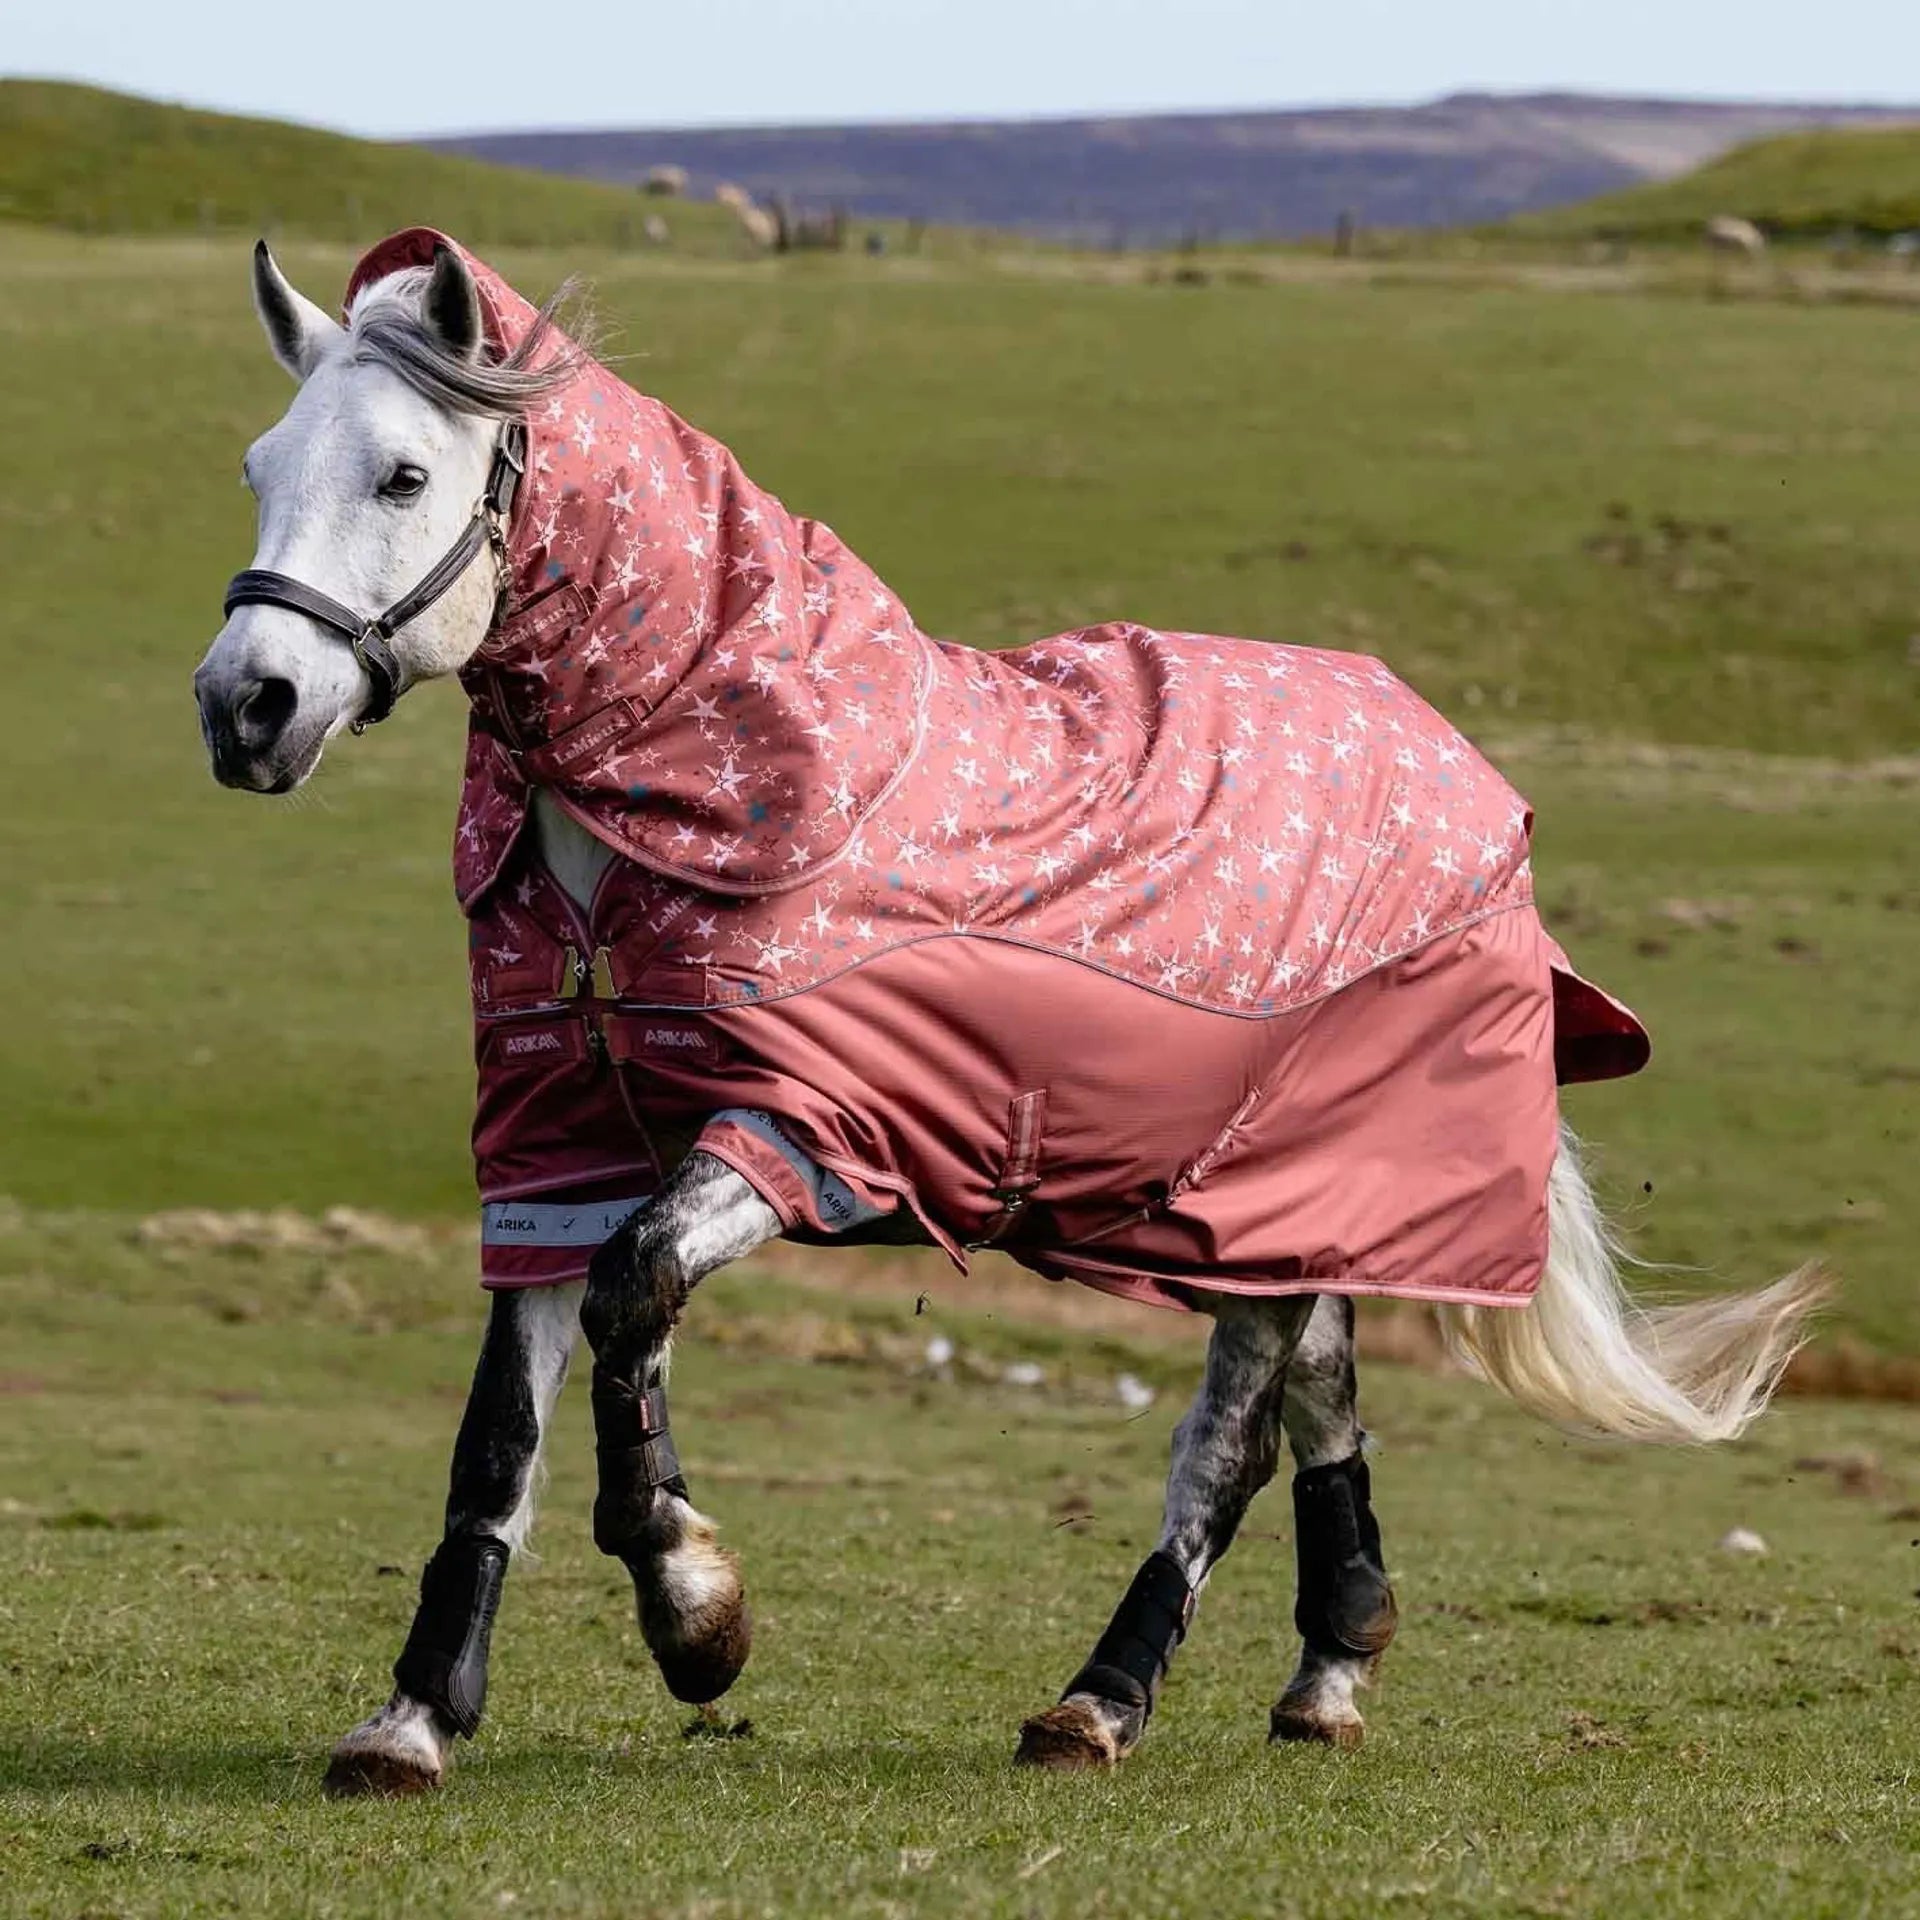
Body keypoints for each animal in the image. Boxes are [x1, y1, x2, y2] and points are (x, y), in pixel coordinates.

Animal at [192, 230, 1822, 1797]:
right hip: (1272, 1206)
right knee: (1322, 1396)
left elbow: (633, 1292)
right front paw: (413, 1719)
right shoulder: (557, 1146)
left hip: (1272, 1200)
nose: (245, 706)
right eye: (261, 468)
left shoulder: (812, 1128)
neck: (694, 807)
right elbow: (499, 1437)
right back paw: (1329, 1673)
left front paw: (694, 1610)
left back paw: (1100, 1702)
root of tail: (1471, 780)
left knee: (1226, 1447)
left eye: (406, 473)